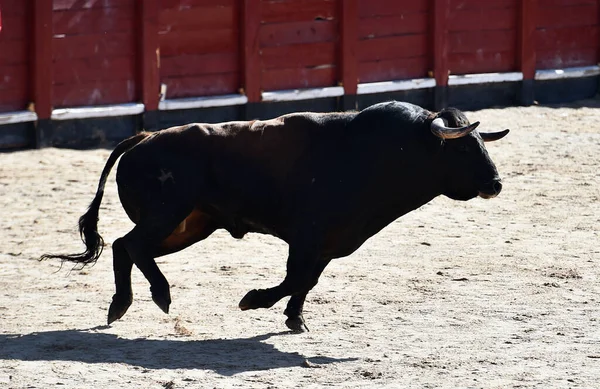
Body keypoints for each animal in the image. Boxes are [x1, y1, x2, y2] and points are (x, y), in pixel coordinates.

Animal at [41, 101, 506, 330]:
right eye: (464, 148)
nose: (496, 183)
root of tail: (144, 136)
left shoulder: (328, 243)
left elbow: (306, 281)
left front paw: (294, 319)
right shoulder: (307, 237)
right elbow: (295, 278)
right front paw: (255, 300)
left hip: (188, 226)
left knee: (126, 247)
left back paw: (122, 306)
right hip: (167, 217)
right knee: (132, 245)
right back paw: (157, 295)